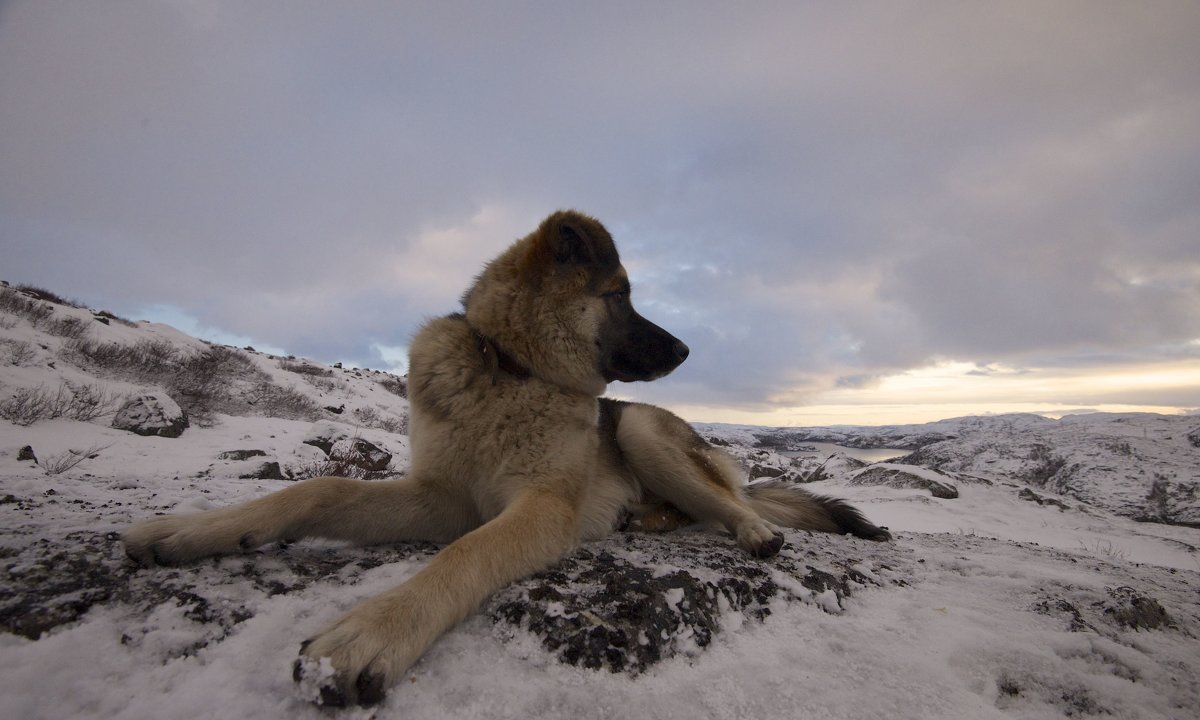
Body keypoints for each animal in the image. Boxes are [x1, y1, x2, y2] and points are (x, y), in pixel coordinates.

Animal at [124, 211, 892, 705]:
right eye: (619, 295)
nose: (686, 349)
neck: (509, 370)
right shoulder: (442, 498)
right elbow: (316, 491)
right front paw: (192, 530)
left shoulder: (541, 505)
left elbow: (463, 554)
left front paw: (374, 630)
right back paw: (648, 521)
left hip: (641, 431)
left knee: (734, 501)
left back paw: (754, 531)